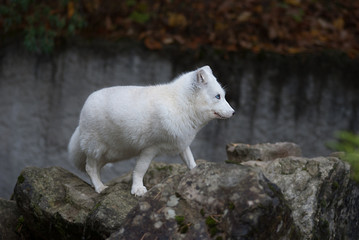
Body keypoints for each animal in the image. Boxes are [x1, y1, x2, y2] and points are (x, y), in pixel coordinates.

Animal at [68, 66, 236, 197]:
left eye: (223, 96)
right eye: (218, 96)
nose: (233, 112)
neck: (180, 105)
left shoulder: (181, 143)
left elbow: (191, 161)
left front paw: (197, 174)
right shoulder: (150, 148)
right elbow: (140, 169)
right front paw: (138, 189)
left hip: (110, 153)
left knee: (95, 168)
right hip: (95, 147)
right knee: (90, 167)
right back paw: (100, 187)